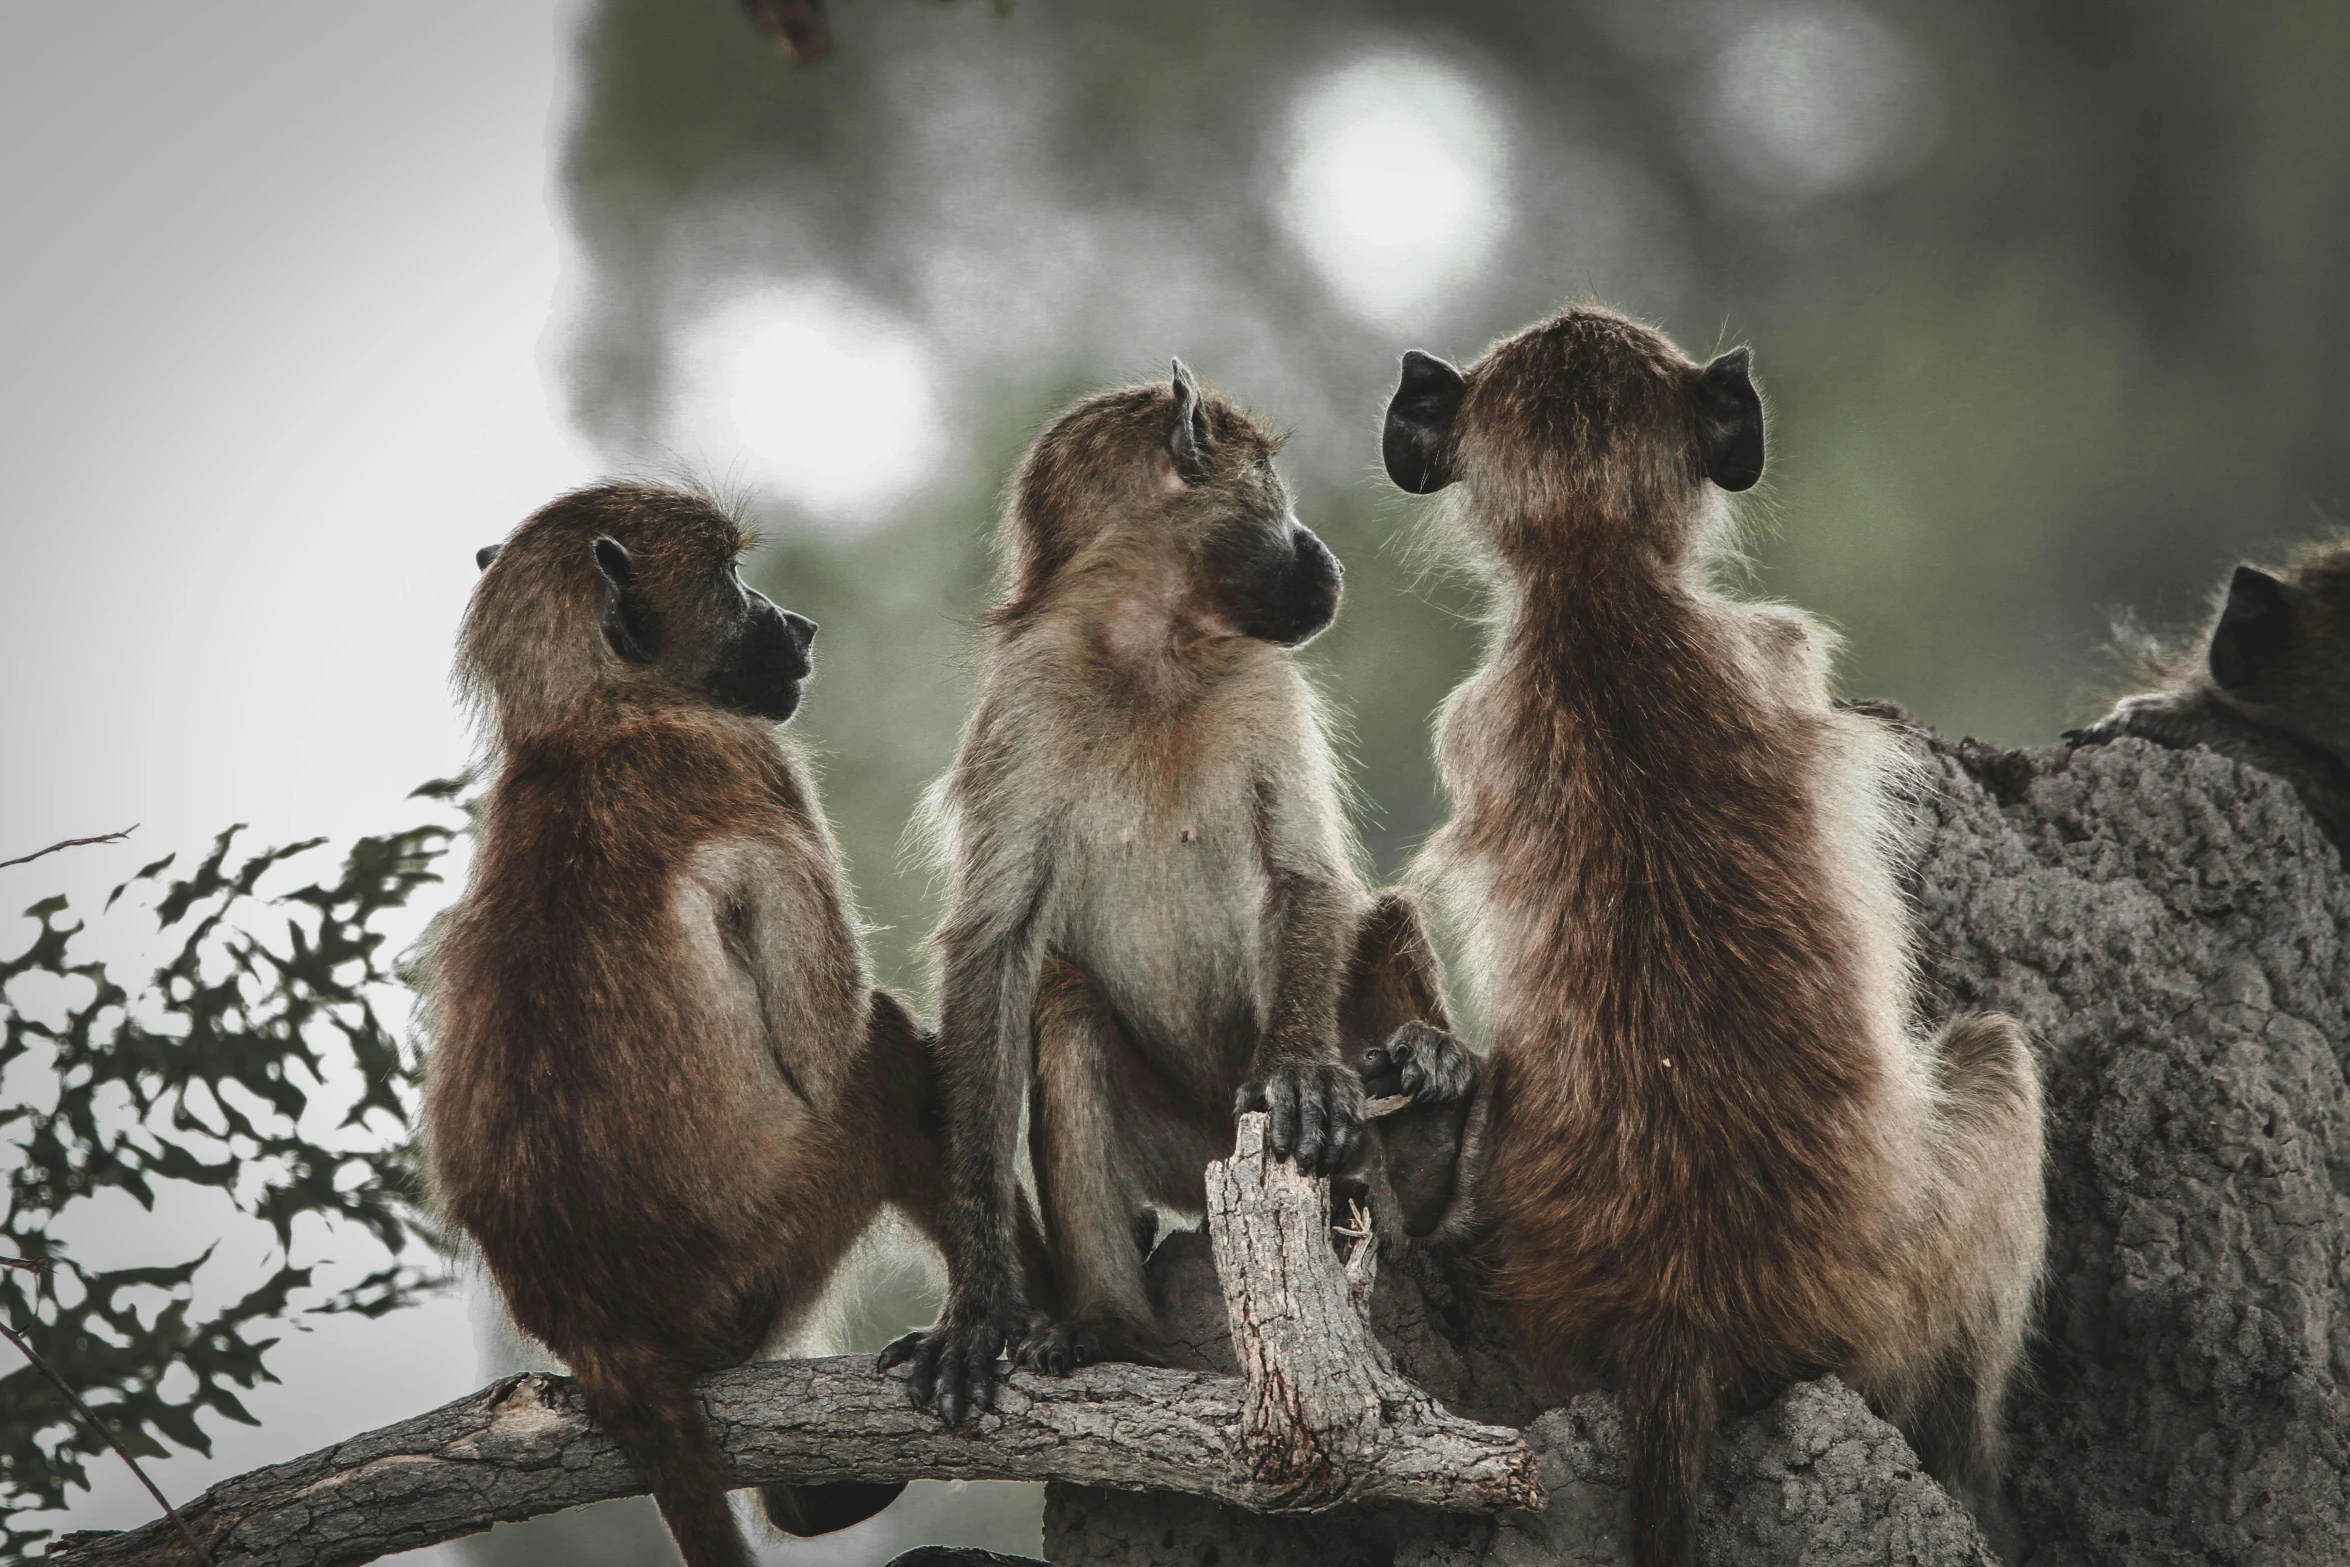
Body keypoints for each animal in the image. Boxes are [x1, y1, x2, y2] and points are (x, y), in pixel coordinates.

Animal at [422, 483, 944, 1567]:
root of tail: (609, 1342)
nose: (800, 625)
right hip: (770, 1244)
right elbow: (829, 1043)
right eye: (737, 581)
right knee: (876, 1056)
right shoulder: (754, 760)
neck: (585, 721)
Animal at [874, 361, 1457, 1428]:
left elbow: (1308, 876)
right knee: (1064, 1006)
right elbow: (993, 949)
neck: (1151, 647)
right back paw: (1110, 1327)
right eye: (1275, 485)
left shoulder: (1268, 679)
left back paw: (1419, 1091)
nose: (1325, 554)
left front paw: (1303, 1072)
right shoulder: (1024, 702)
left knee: (1378, 917)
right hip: (1180, 1146)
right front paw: (977, 1313)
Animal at [1381, 310, 2049, 1567]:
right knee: (1996, 1056)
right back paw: (1972, 1481)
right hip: (1892, 1278)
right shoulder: (1769, 642)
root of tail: (1678, 1317)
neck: (1592, 573)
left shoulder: (1470, 715)